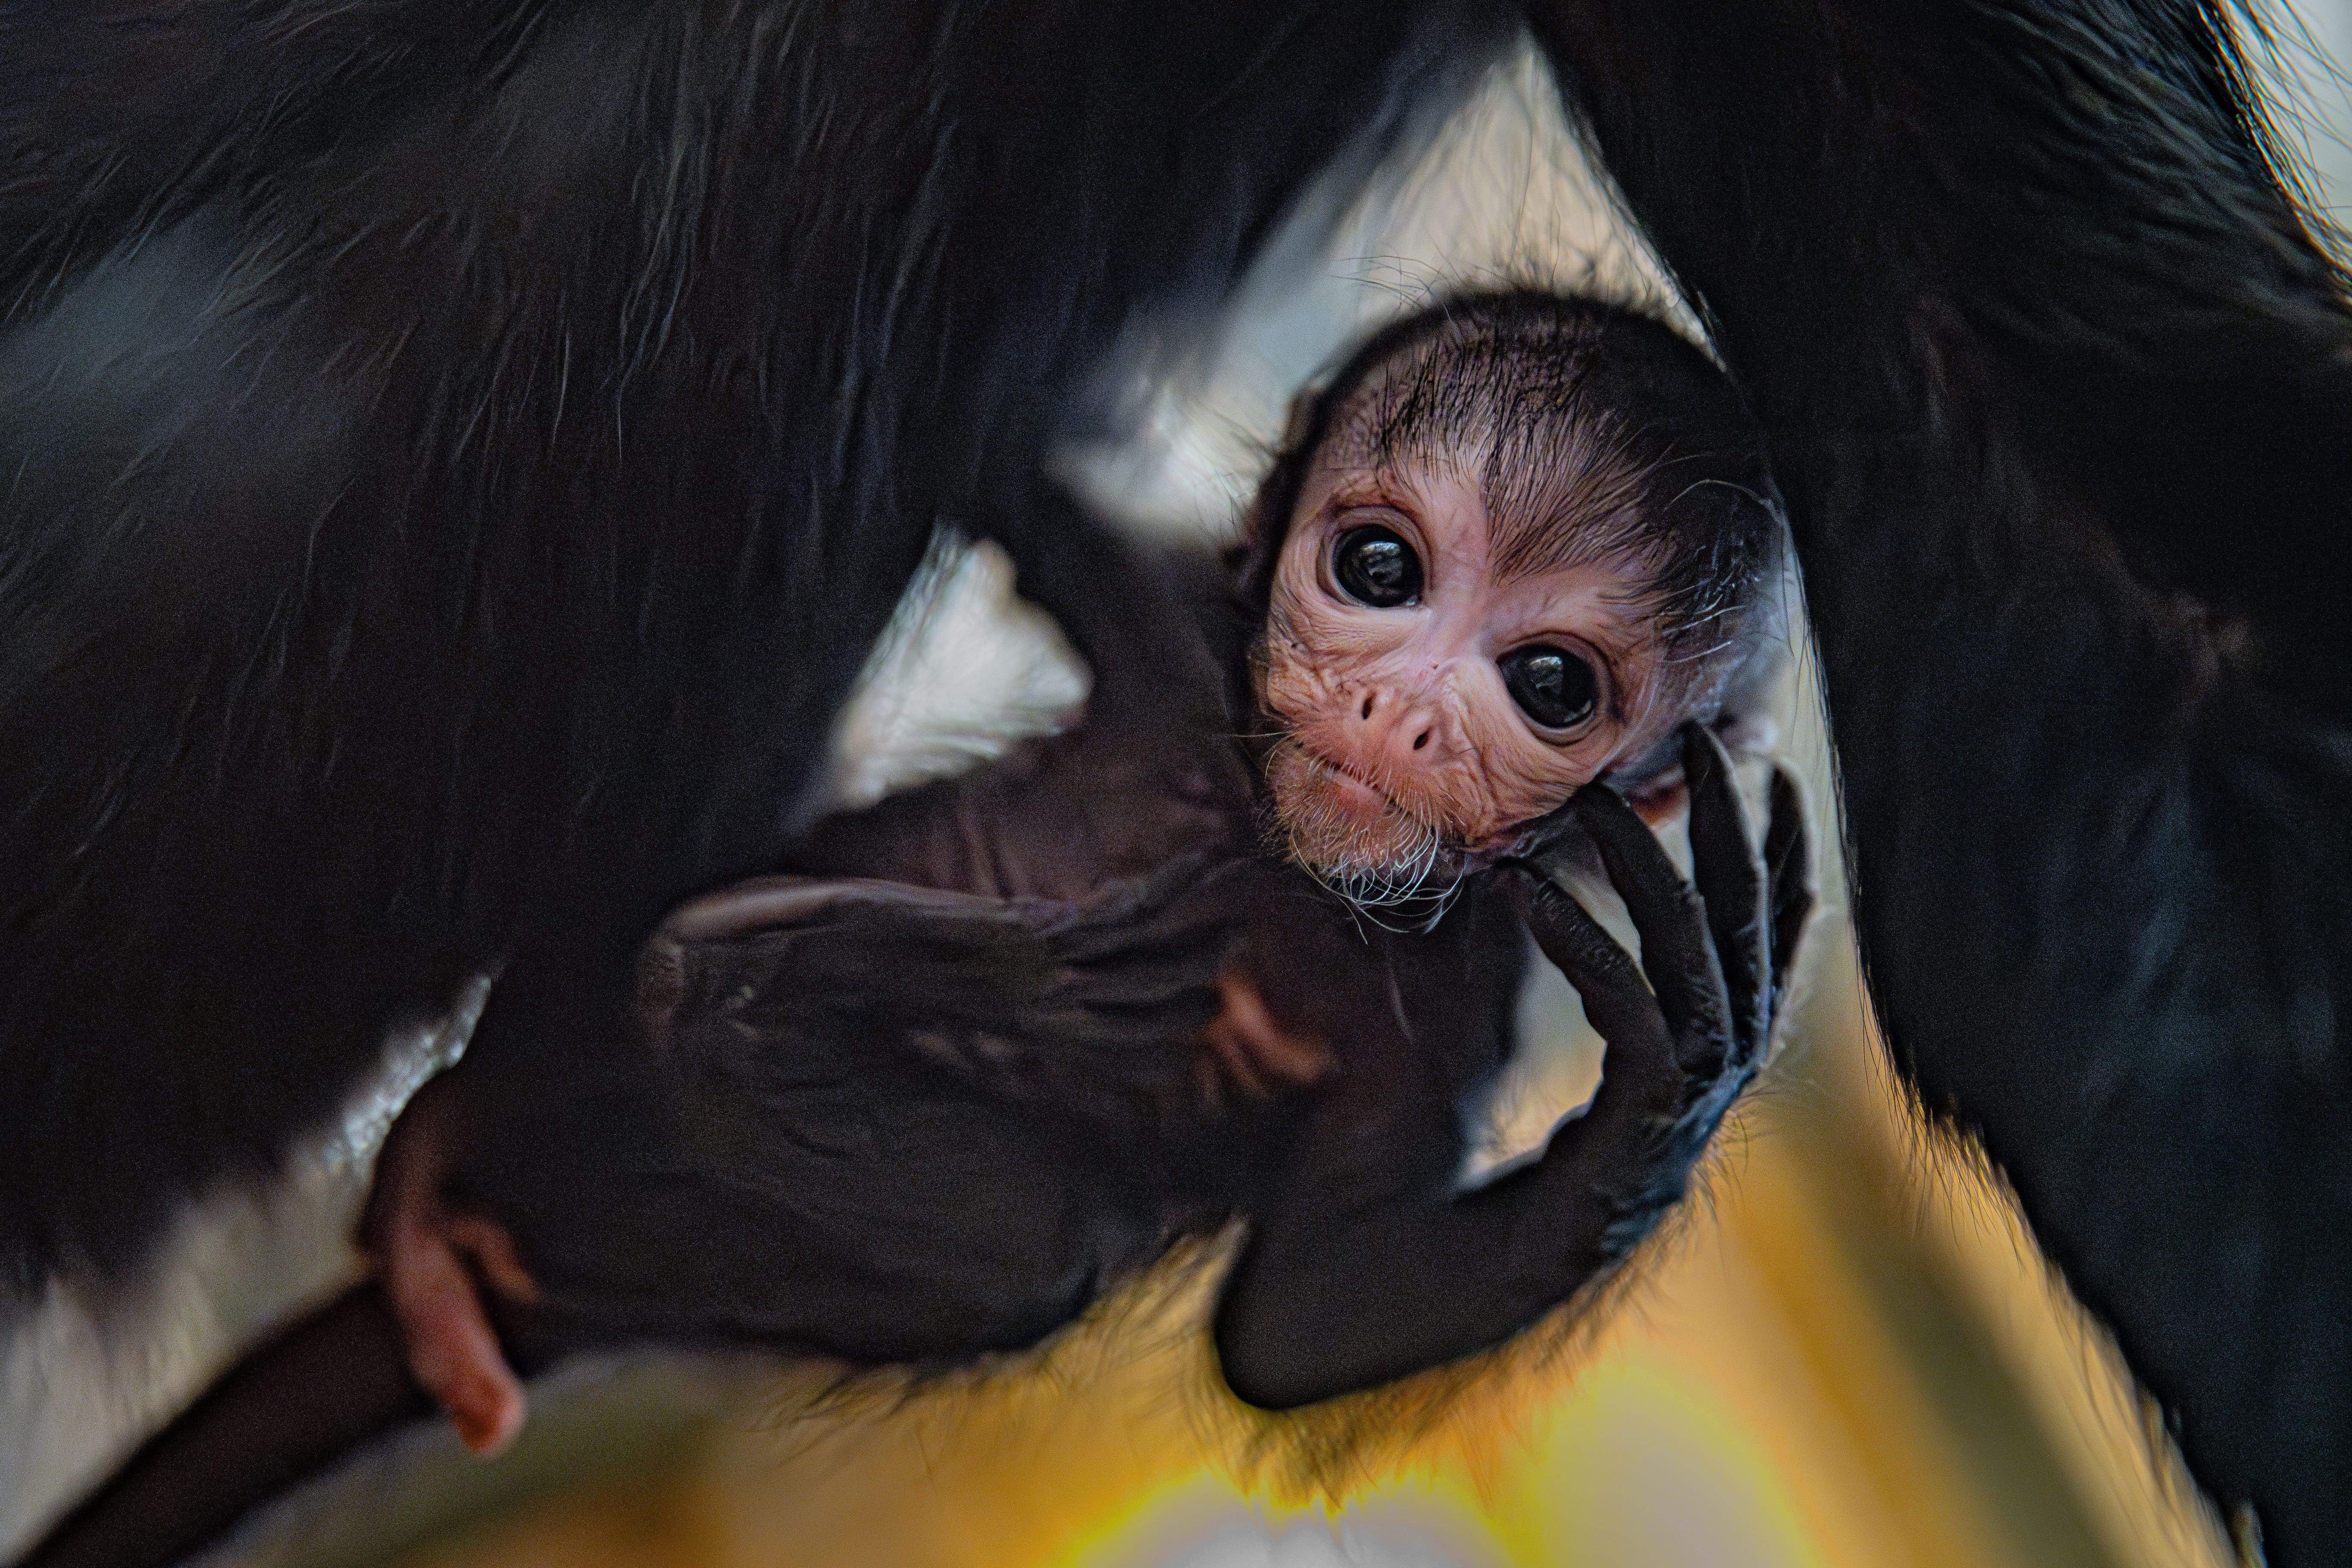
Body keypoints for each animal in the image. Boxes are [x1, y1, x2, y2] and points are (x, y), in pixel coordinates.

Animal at [0, 6, 2342, 1561]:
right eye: (1376, 566)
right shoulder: (1162, 657)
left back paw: (797, 993)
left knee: (1005, 1227)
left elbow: (1294, 1330)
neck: (1259, 854)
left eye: (1548, 679)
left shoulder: (1453, 994)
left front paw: (1675, 1068)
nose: (1401, 717)